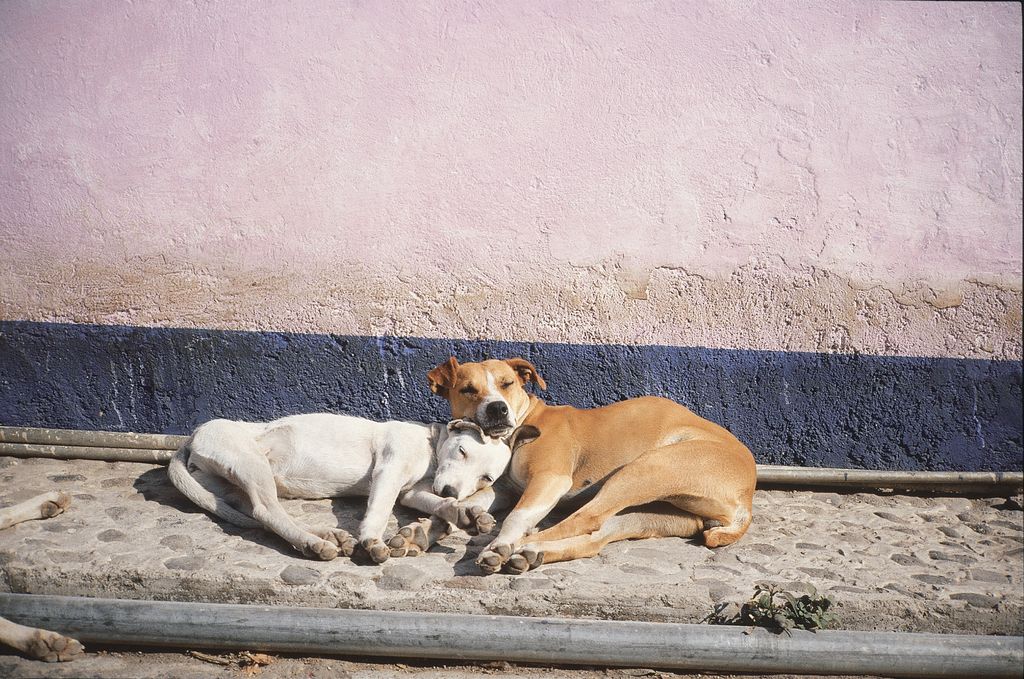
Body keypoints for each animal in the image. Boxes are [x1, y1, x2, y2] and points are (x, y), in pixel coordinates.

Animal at [168, 413, 524, 561]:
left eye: (486, 478)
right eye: (462, 451)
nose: (450, 491)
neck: (430, 448)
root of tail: (191, 438)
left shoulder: (412, 491)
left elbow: (436, 504)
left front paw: (465, 513)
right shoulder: (389, 470)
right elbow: (379, 510)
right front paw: (371, 539)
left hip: (232, 487)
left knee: (263, 514)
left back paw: (325, 537)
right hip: (249, 463)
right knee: (266, 511)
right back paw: (315, 544)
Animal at [425, 358, 761, 577]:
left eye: (507, 384)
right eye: (468, 389)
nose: (498, 408)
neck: (522, 425)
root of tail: (746, 499)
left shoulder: (549, 480)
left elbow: (516, 517)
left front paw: (499, 542)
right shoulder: (506, 488)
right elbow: (476, 499)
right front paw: (461, 514)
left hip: (643, 469)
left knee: (582, 520)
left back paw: (515, 547)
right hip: (646, 514)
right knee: (594, 538)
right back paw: (532, 554)